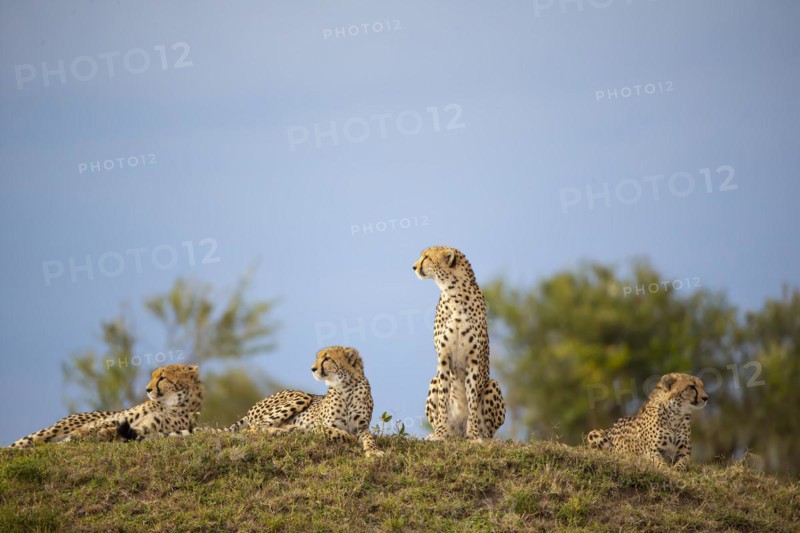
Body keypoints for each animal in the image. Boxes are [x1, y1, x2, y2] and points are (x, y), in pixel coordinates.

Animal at [8, 364, 203, 448]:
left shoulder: (147, 428)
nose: (147, 389)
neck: (169, 404)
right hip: (56, 428)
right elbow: (97, 426)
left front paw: (101, 435)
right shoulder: (116, 419)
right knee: (24, 441)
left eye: (162, 378)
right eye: (153, 376)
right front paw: (82, 435)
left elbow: (114, 431)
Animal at [203, 346, 383, 457]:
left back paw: (290, 429)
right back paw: (285, 430)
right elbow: (333, 431)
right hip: (302, 396)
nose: (312, 368)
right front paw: (349, 437)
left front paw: (373, 451)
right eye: (318, 358)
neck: (346, 387)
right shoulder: (320, 426)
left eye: (327, 359)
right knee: (255, 428)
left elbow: (369, 438)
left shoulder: (362, 427)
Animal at [412, 246, 505, 441]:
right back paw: (441, 432)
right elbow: (443, 398)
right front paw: (441, 433)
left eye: (426, 257)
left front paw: (474, 434)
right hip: (433, 381)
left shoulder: (474, 359)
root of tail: (458, 432)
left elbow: (472, 398)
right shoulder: (443, 357)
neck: (454, 293)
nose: (414, 267)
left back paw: (480, 435)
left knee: (489, 430)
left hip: (493, 384)